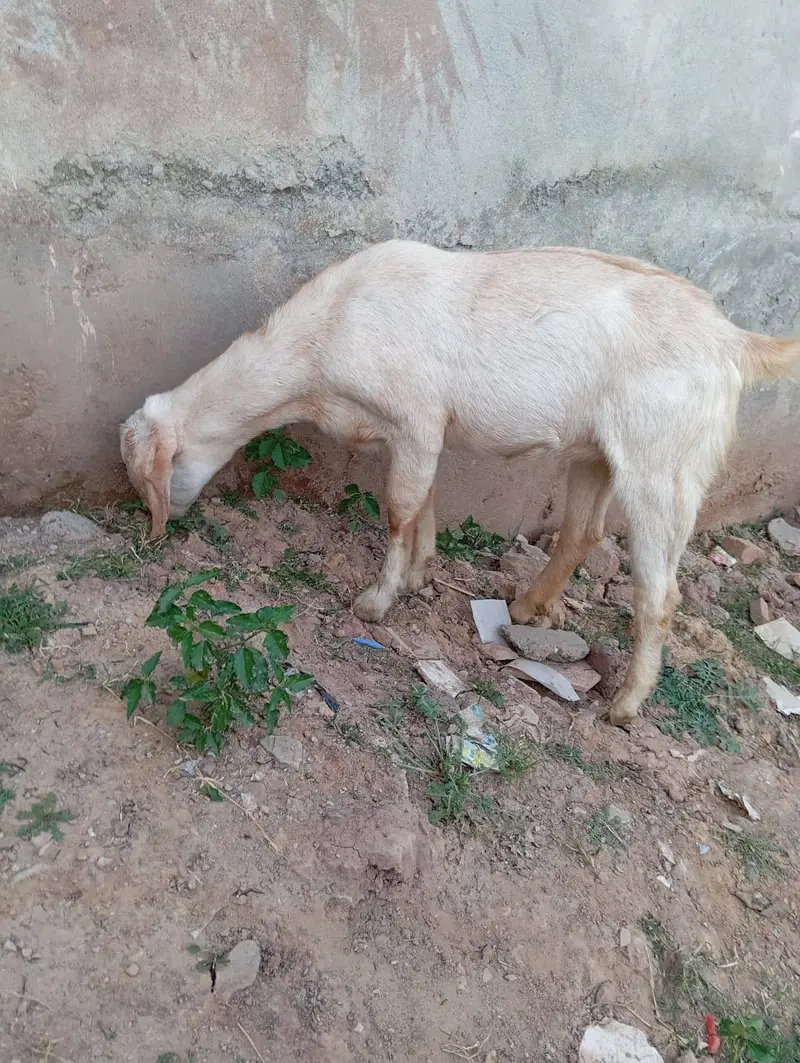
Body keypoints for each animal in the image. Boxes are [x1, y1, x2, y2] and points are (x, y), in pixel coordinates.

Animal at [121, 239, 800, 725]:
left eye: (146, 475)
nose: (156, 528)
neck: (323, 338)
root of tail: (735, 341)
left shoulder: (416, 419)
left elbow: (398, 507)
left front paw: (376, 602)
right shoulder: (417, 434)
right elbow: (425, 503)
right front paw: (421, 575)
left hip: (663, 463)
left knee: (660, 594)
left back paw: (625, 706)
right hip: (598, 454)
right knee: (581, 533)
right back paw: (524, 608)